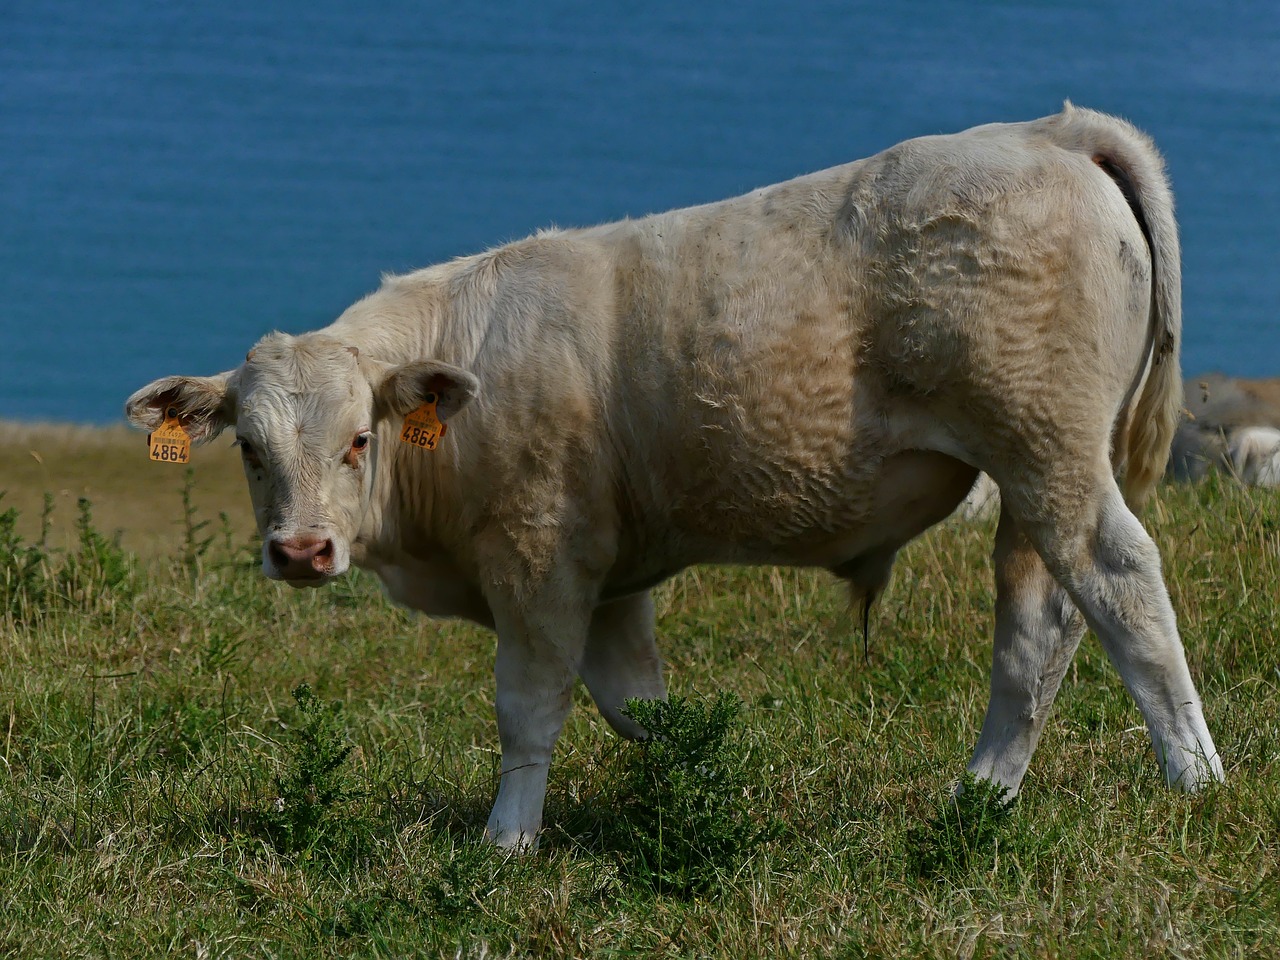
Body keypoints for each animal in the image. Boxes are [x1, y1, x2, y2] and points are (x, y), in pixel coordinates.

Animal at [127, 104, 1218, 849]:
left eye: (358, 439)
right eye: (250, 447)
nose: (302, 550)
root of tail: (1048, 132)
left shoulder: (539, 556)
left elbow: (530, 707)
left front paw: (505, 842)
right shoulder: (610, 577)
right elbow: (639, 709)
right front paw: (699, 787)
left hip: (1044, 450)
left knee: (1118, 585)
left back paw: (1195, 780)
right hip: (1030, 478)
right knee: (1036, 627)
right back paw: (977, 797)